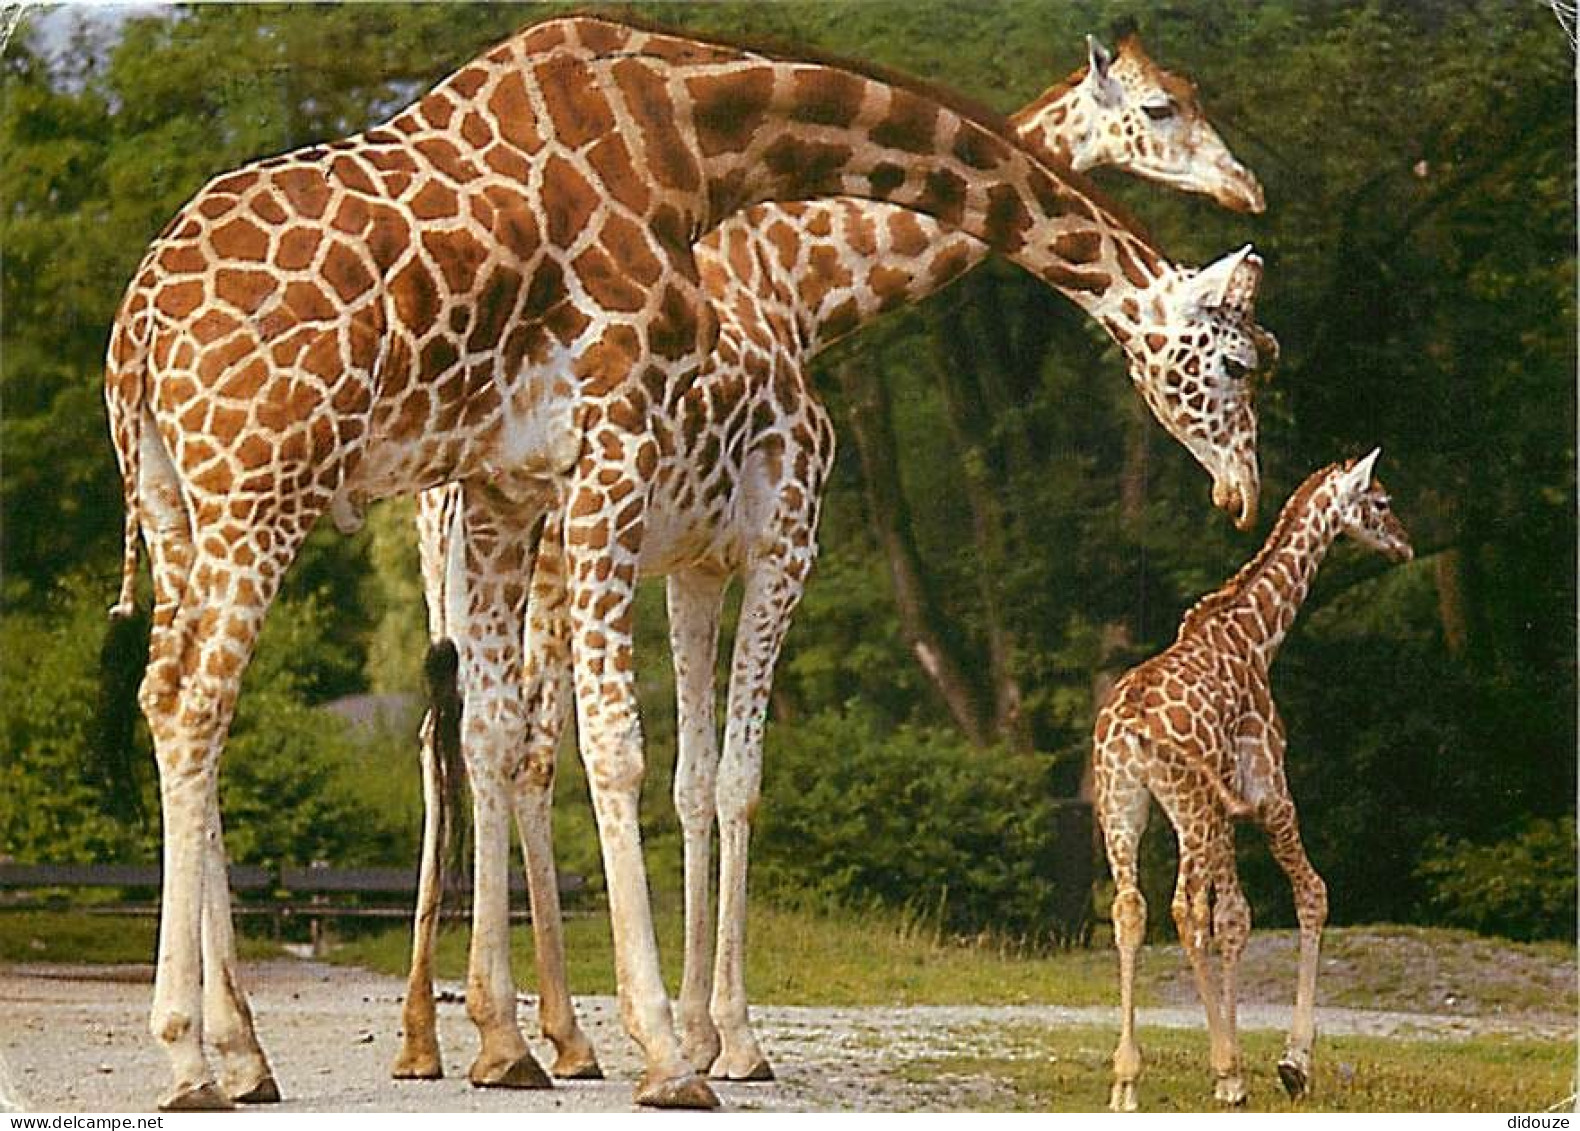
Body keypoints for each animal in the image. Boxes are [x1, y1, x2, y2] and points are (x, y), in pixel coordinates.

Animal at [98, 13, 1276, 1112]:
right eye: (1235, 360)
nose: (1243, 488)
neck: (710, 149)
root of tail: (136, 331)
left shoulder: (527, 497)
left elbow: (553, 750)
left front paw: (513, 1042)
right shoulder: (686, 488)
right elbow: (650, 761)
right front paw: (682, 1050)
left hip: (185, 508)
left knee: (186, 699)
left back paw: (265, 1051)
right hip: (261, 493)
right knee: (201, 709)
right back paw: (195, 1056)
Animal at [1093, 445, 1415, 1112]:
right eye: (1381, 500)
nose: (1405, 544)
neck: (1257, 636)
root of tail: (1130, 726)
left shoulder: (1225, 810)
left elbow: (1232, 917)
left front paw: (1239, 1063)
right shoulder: (1266, 793)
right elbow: (1303, 895)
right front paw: (1285, 1064)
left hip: (1121, 806)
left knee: (1132, 907)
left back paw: (1126, 1079)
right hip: (1187, 806)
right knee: (1183, 909)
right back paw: (1222, 1066)